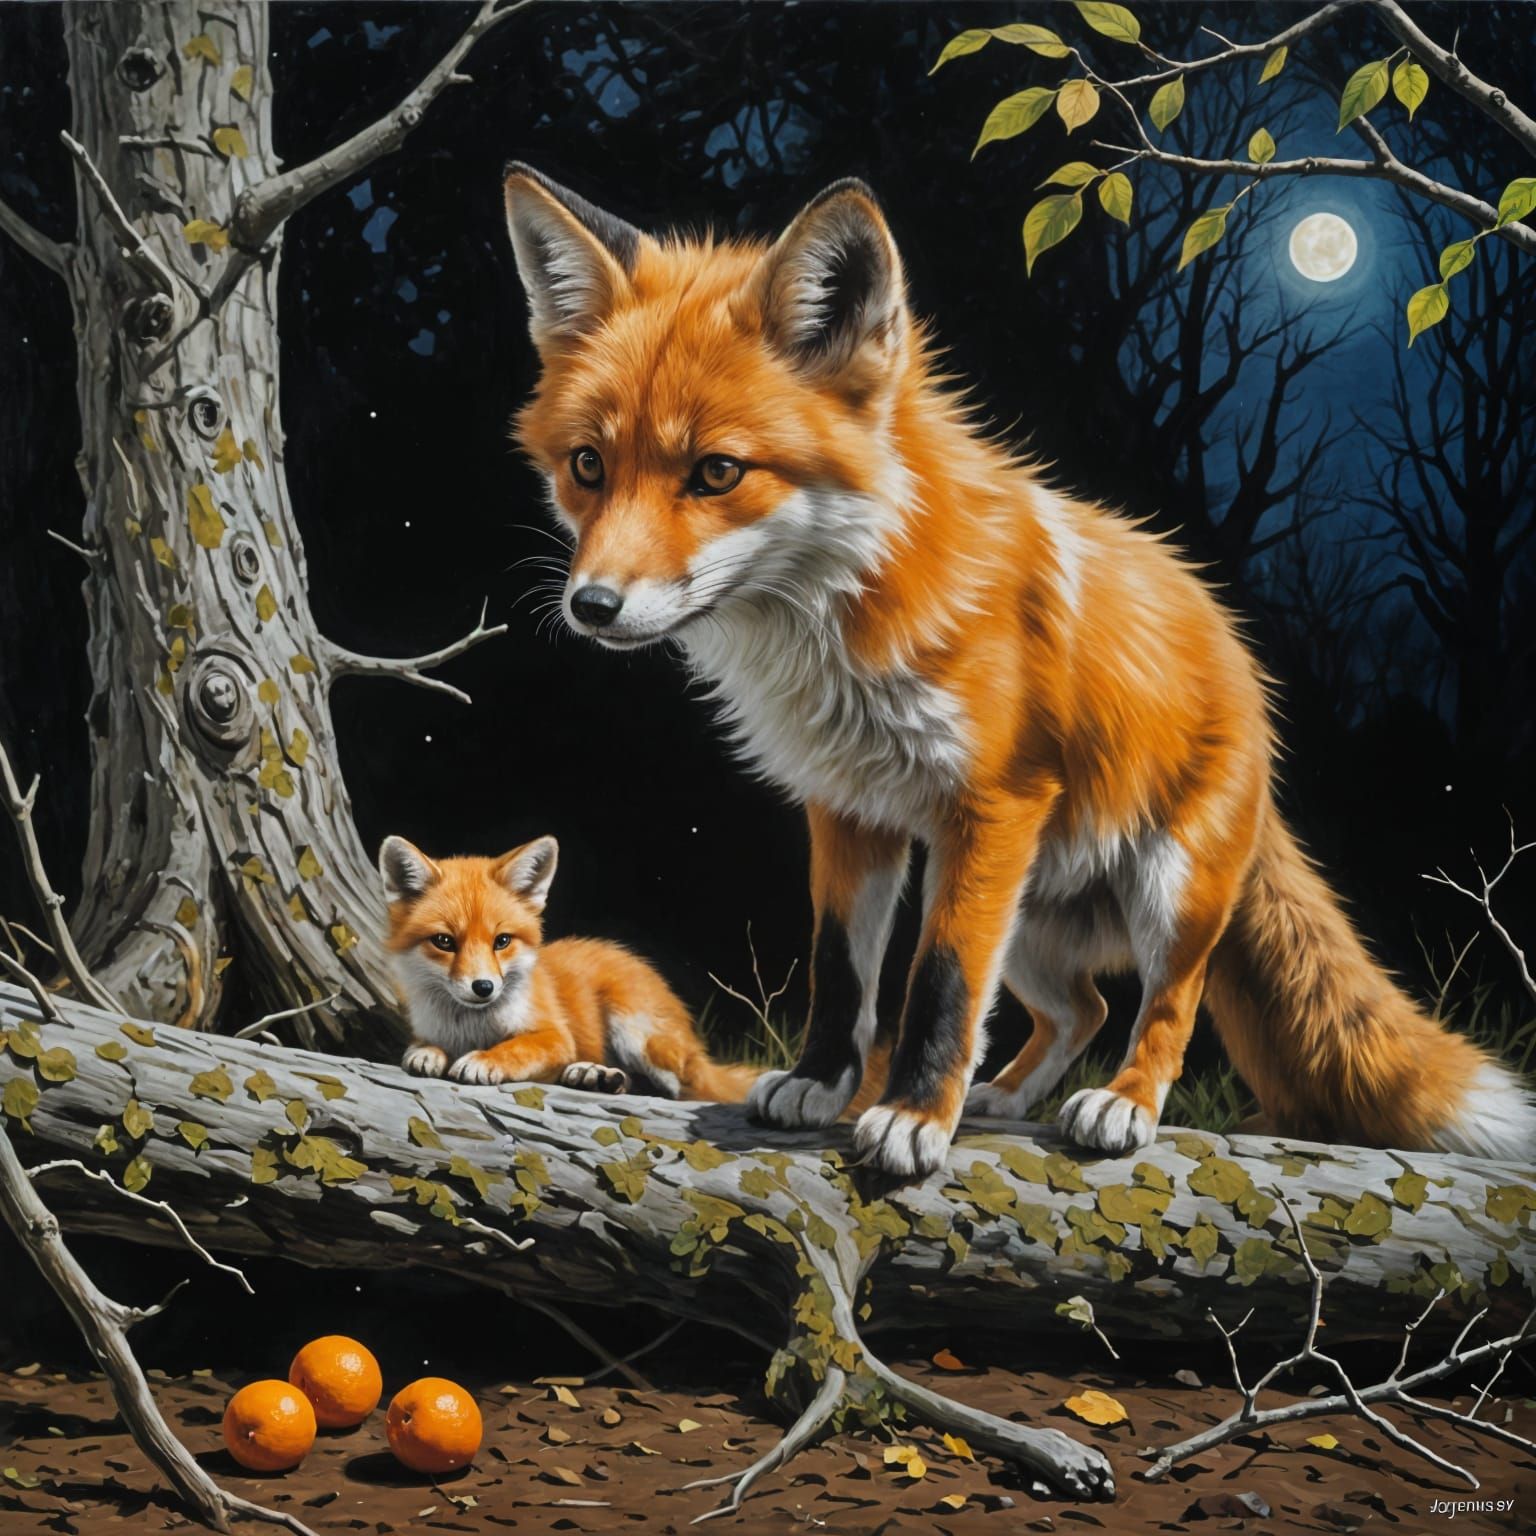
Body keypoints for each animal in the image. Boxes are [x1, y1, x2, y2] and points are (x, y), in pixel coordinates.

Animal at [379, 834, 758, 1102]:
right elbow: (423, 1045)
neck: (470, 1028)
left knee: (678, 1091)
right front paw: (426, 1053)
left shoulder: (556, 1037)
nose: (483, 987)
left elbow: (517, 1048)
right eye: (444, 942)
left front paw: (484, 1060)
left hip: (637, 1035)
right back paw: (596, 1076)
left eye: (502, 941)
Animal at [498, 162, 1535, 1177]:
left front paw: (915, 1118)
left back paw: (1123, 1104)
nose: (591, 607)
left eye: (716, 473)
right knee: (1088, 1006)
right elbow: (842, 971)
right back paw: (1005, 1097)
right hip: (1033, 918)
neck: (848, 622)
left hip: (1162, 889)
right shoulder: (850, 813)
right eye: (588, 466)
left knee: (1167, 1004)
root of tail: (1235, 647)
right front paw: (826, 1084)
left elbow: (942, 983)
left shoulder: (990, 807)